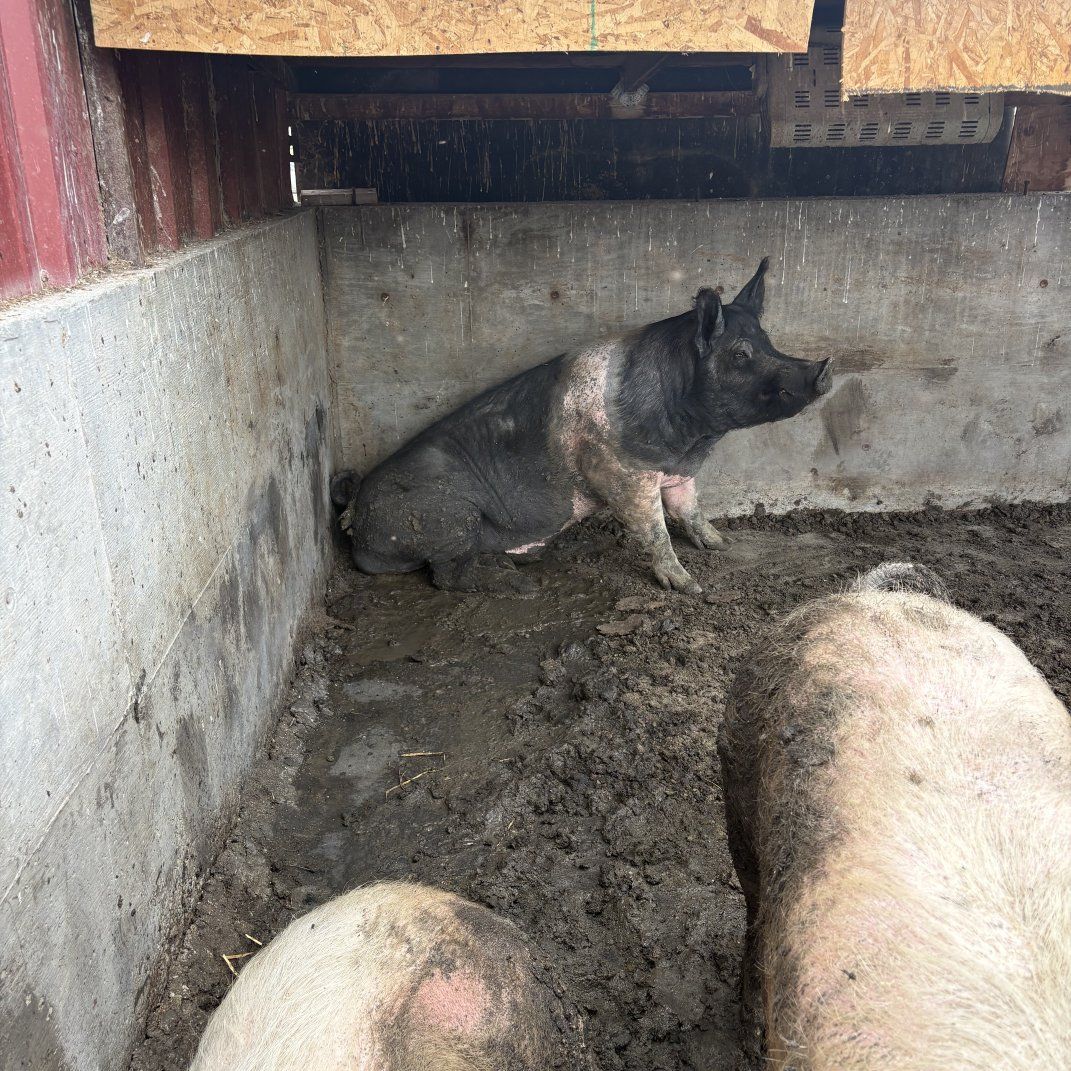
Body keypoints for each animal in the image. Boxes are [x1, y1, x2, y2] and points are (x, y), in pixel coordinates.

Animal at [332, 259, 831, 595]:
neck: (690, 440)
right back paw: (515, 582)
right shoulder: (620, 473)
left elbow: (690, 510)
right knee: (446, 573)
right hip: (447, 515)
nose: (822, 370)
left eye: (769, 342)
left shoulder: (678, 473)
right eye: (740, 354)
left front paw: (721, 545)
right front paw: (688, 585)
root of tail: (353, 512)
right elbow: (654, 529)